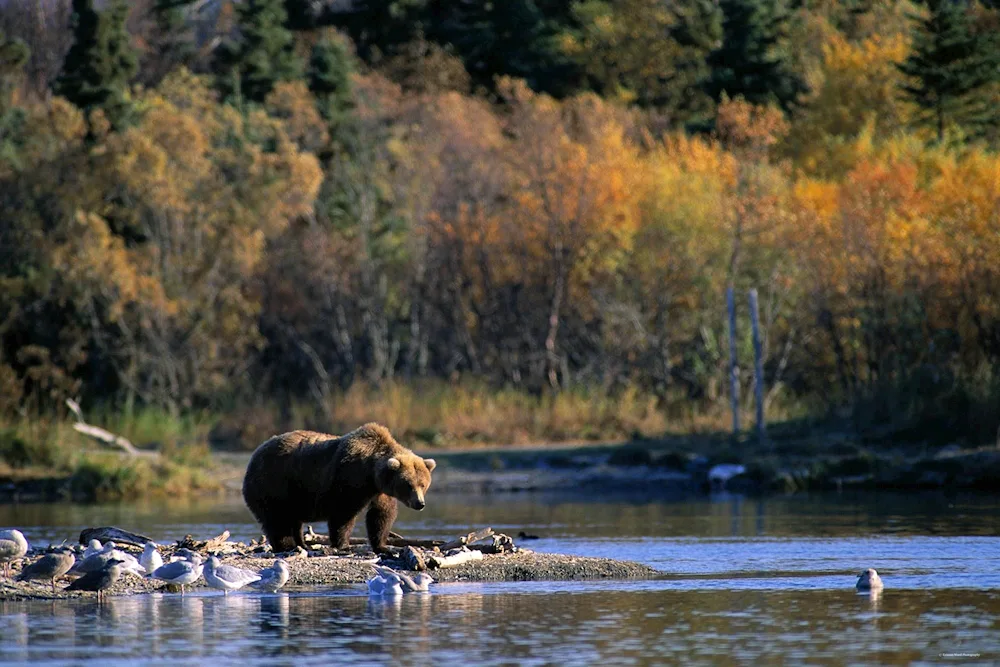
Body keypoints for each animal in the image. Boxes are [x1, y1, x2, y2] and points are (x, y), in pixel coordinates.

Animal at [241, 426, 434, 556]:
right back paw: (287, 545)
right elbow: (343, 514)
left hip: (293, 494)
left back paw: (303, 544)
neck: (371, 473)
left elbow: (381, 515)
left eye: (423, 484)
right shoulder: (349, 479)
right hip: (273, 483)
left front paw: (383, 546)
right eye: (408, 484)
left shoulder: (380, 491)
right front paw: (343, 545)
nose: (420, 503)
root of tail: (254, 454)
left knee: (294, 520)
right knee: (277, 518)